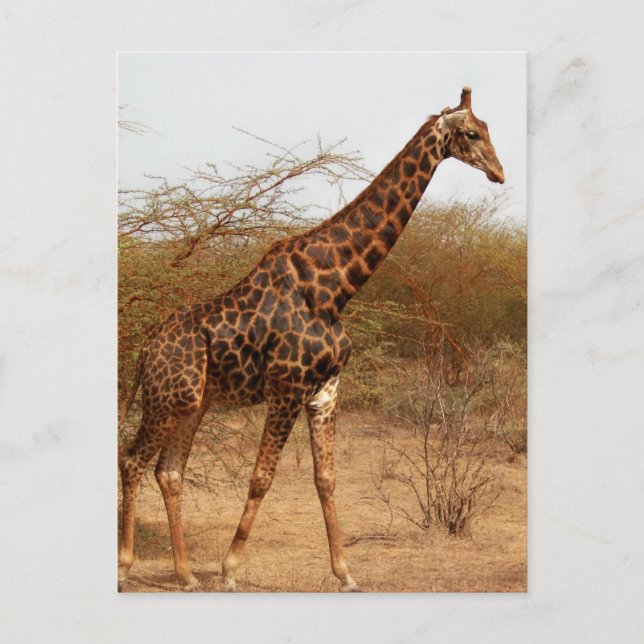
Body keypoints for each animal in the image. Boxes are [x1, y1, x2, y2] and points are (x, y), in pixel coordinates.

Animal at [118, 86, 505, 593]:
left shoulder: (325, 390)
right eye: (473, 133)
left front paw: (345, 574)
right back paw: (126, 566)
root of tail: (145, 351)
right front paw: (229, 570)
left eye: (488, 129)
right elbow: (262, 477)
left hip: (193, 403)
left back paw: (185, 576)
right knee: (132, 460)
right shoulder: (287, 387)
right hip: (168, 398)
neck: (335, 286)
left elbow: (326, 479)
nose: (499, 172)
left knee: (169, 471)